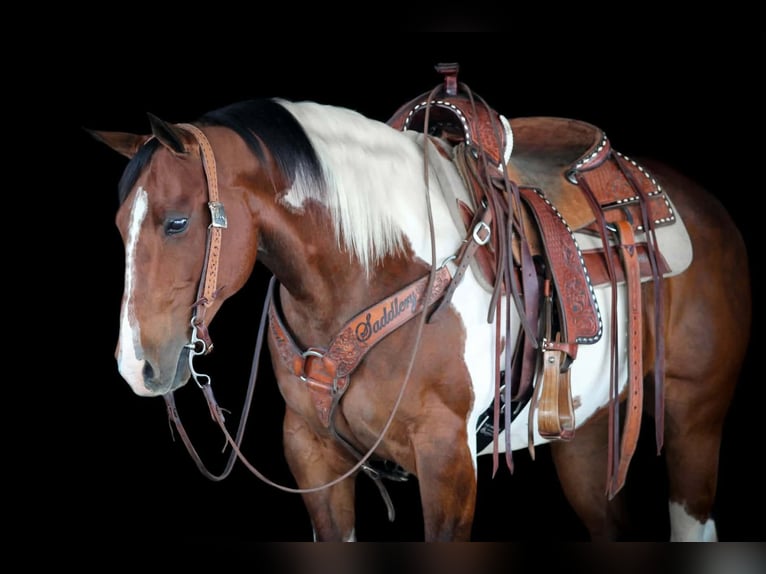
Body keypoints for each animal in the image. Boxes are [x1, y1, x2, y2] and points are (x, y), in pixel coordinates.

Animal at [90, 68, 751, 542]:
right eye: (121, 226)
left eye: (177, 223)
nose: (135, 366)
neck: (366, 270)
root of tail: (706, 209)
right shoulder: (312, 453)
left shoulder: (447, 460)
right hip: (584, 439)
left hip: (694, 424)